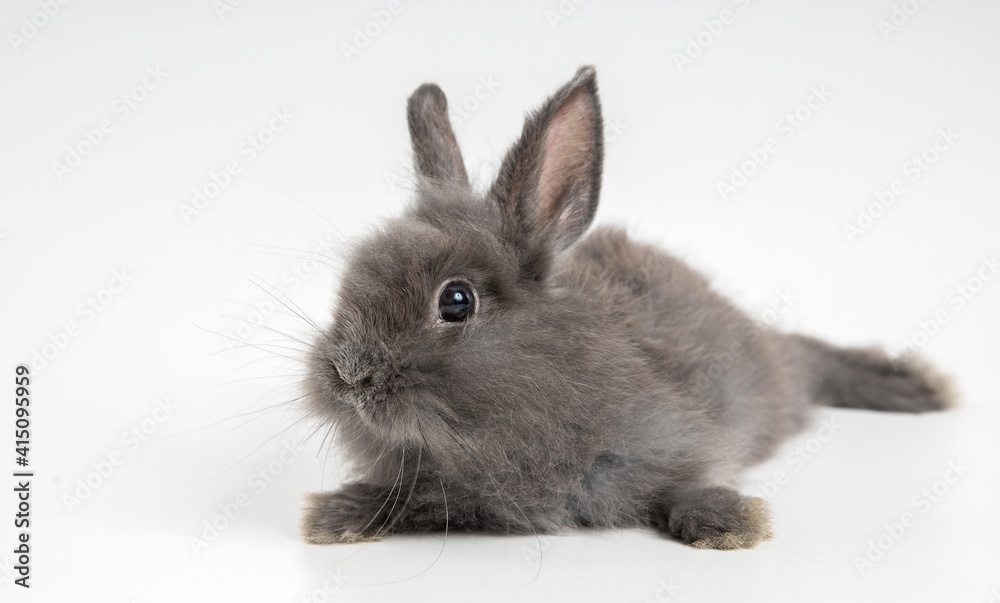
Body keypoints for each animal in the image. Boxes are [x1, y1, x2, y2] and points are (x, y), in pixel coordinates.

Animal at [300, 66, 954, 550]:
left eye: (456, 301)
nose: (350, 374)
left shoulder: (680, 432)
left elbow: (692, 479)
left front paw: (727, 526)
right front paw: (337, 516)